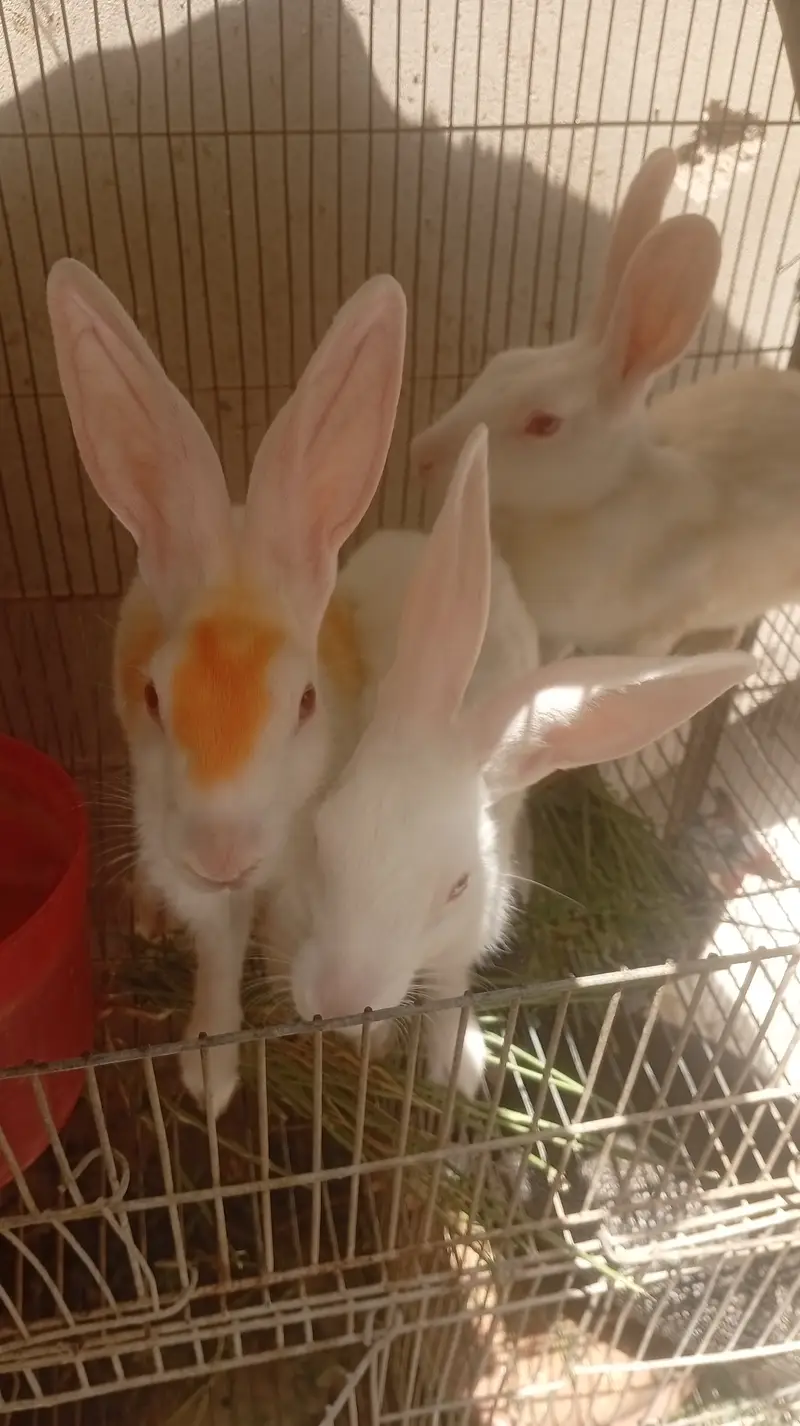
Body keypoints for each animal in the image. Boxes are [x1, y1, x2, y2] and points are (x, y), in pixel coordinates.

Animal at [46, 258, 406, 1117]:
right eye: (154, 697)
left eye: (305, 703)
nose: (222, 853)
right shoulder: (188, 864)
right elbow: (217, 951)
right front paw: (209, 1078)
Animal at [267, 424, 755, 1097]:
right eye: (321, 838)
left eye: (458, 886)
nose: (338, 1002)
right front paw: (374, 1041)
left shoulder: (460, 944)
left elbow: (448, 991)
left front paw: (456, 1068)